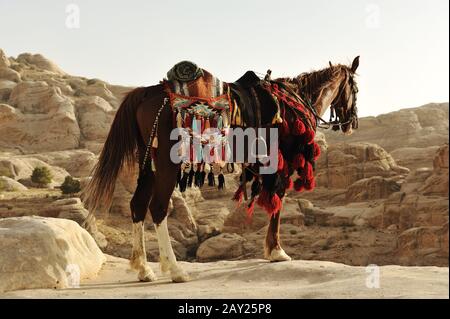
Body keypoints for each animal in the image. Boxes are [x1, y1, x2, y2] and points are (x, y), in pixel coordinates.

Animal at [82, 56, 360, 284]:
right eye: (355, 89)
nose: (351, 122)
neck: (294, 103)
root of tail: (147, 92)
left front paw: (273, 250)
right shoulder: (283, 163)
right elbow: (277, 202)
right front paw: (276, 251)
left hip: (148, 158)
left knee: (138, 205)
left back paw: (143, 268)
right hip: (166, 163)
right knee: (158, 208)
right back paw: (175, 270)